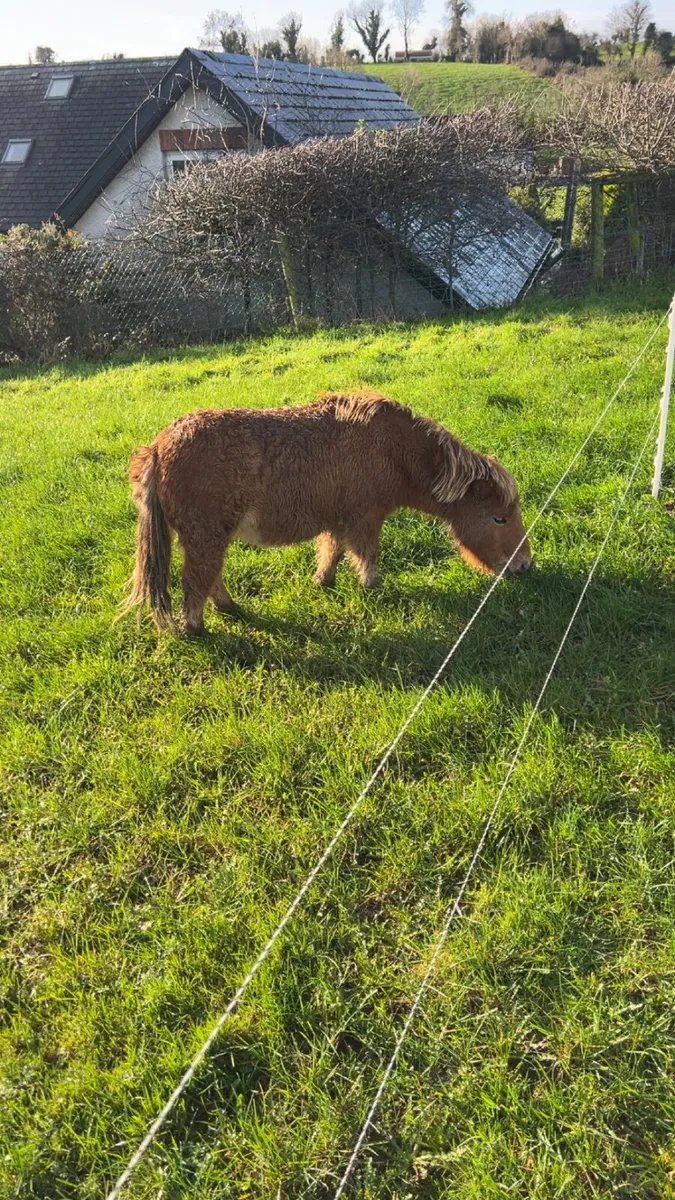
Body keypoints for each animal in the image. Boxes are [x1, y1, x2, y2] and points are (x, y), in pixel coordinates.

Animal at [121, 391, 531, 634]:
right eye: (499, 518)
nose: (525, 565)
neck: (389, 448)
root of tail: (158, 447)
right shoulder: (366, 518)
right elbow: (366, 555)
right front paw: (373, 587)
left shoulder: (338, 519)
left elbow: (333, 551)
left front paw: (324, 581)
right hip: (204, 537)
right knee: (196, 582)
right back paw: (196, 629)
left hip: (209, 537)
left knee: (210, 578)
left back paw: (229, 608)